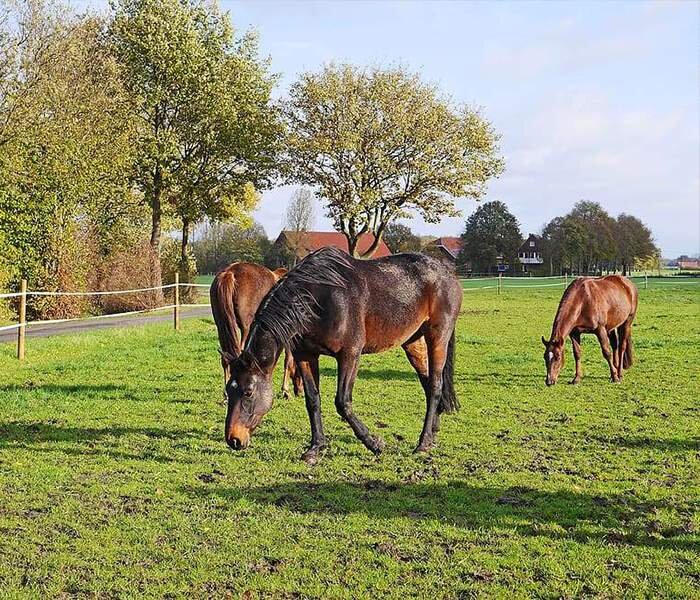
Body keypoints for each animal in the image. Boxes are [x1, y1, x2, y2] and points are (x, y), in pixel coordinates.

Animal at [209, 262, 300, 398]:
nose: (299, 390)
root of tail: (230, 272)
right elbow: (287, 360)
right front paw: (285, 390)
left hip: (221, 325)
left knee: (225, 358)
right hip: (246, 327)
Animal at [221, 248, 462, 464]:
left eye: (248, 392)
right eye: (228, 391)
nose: (233, 439)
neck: (319, 297)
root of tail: (447, 272)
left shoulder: (349, 355)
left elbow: (342, 402)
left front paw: (374, 443)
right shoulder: (305, 355)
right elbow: (312, 400)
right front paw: (316, 448)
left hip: (437, 337)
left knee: (435, 386)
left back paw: (423, 443)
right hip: (413, 342)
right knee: (427, 382)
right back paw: (433, 434)